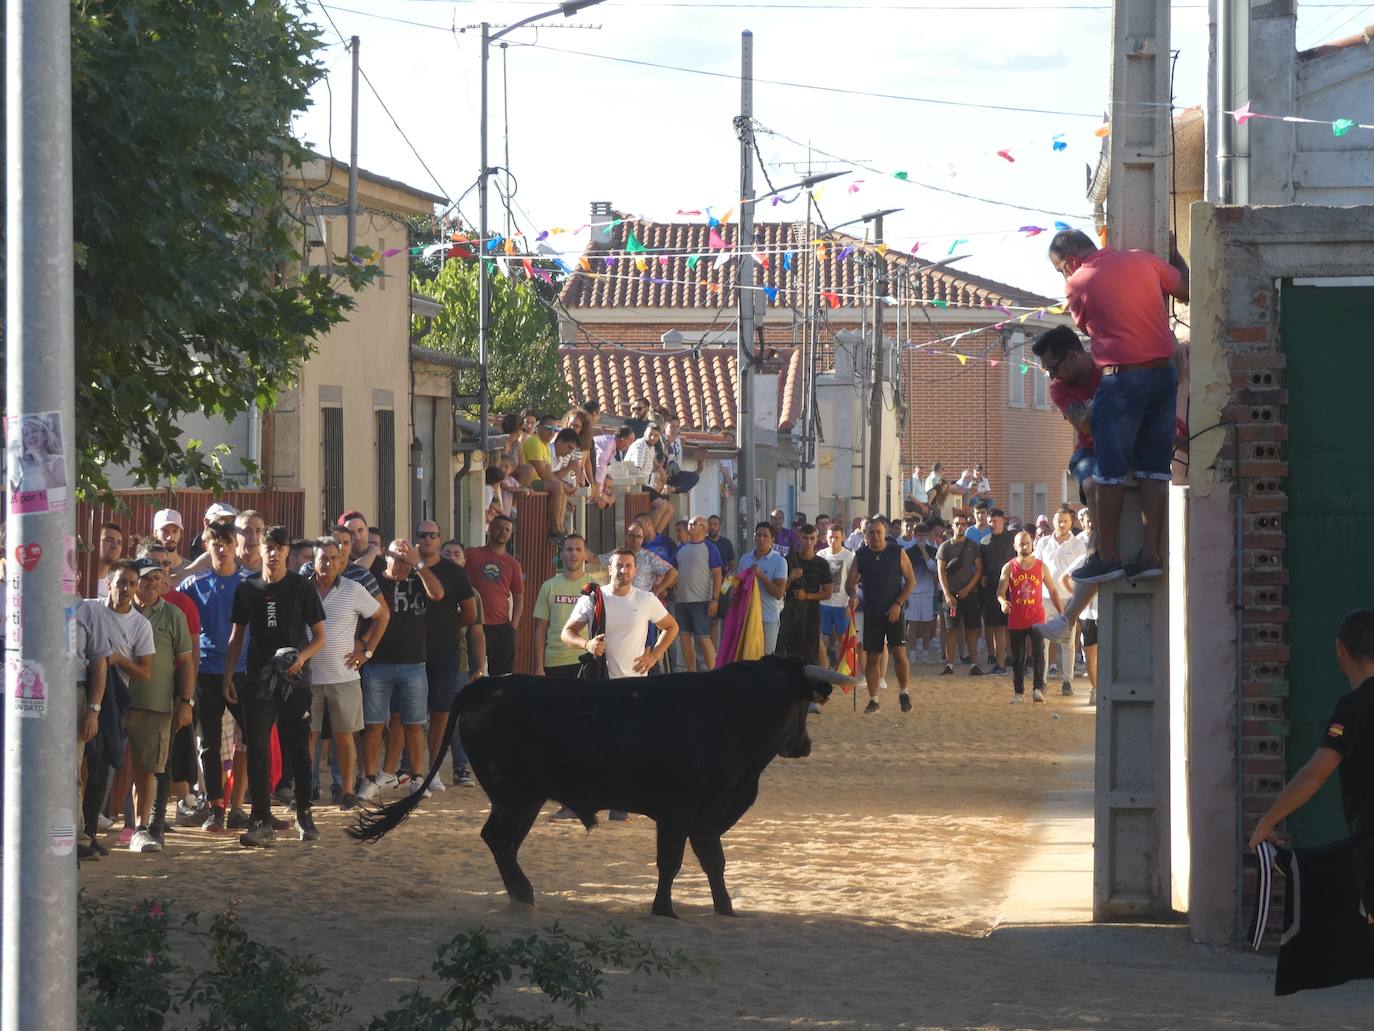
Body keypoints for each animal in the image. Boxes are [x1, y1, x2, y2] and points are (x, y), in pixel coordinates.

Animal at [348, 657, 851, 918]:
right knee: (498, 839)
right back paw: (524, 894)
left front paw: (724, 908)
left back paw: (522, 895)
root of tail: (484, 685)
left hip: (526, 800)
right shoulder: (682, 811)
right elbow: (674, 862)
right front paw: (665, 909)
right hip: (516, 797)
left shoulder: (706, 815)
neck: (733, 709)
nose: (804, 746)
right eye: (802, 704)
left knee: (503, 842)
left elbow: (713, 862)